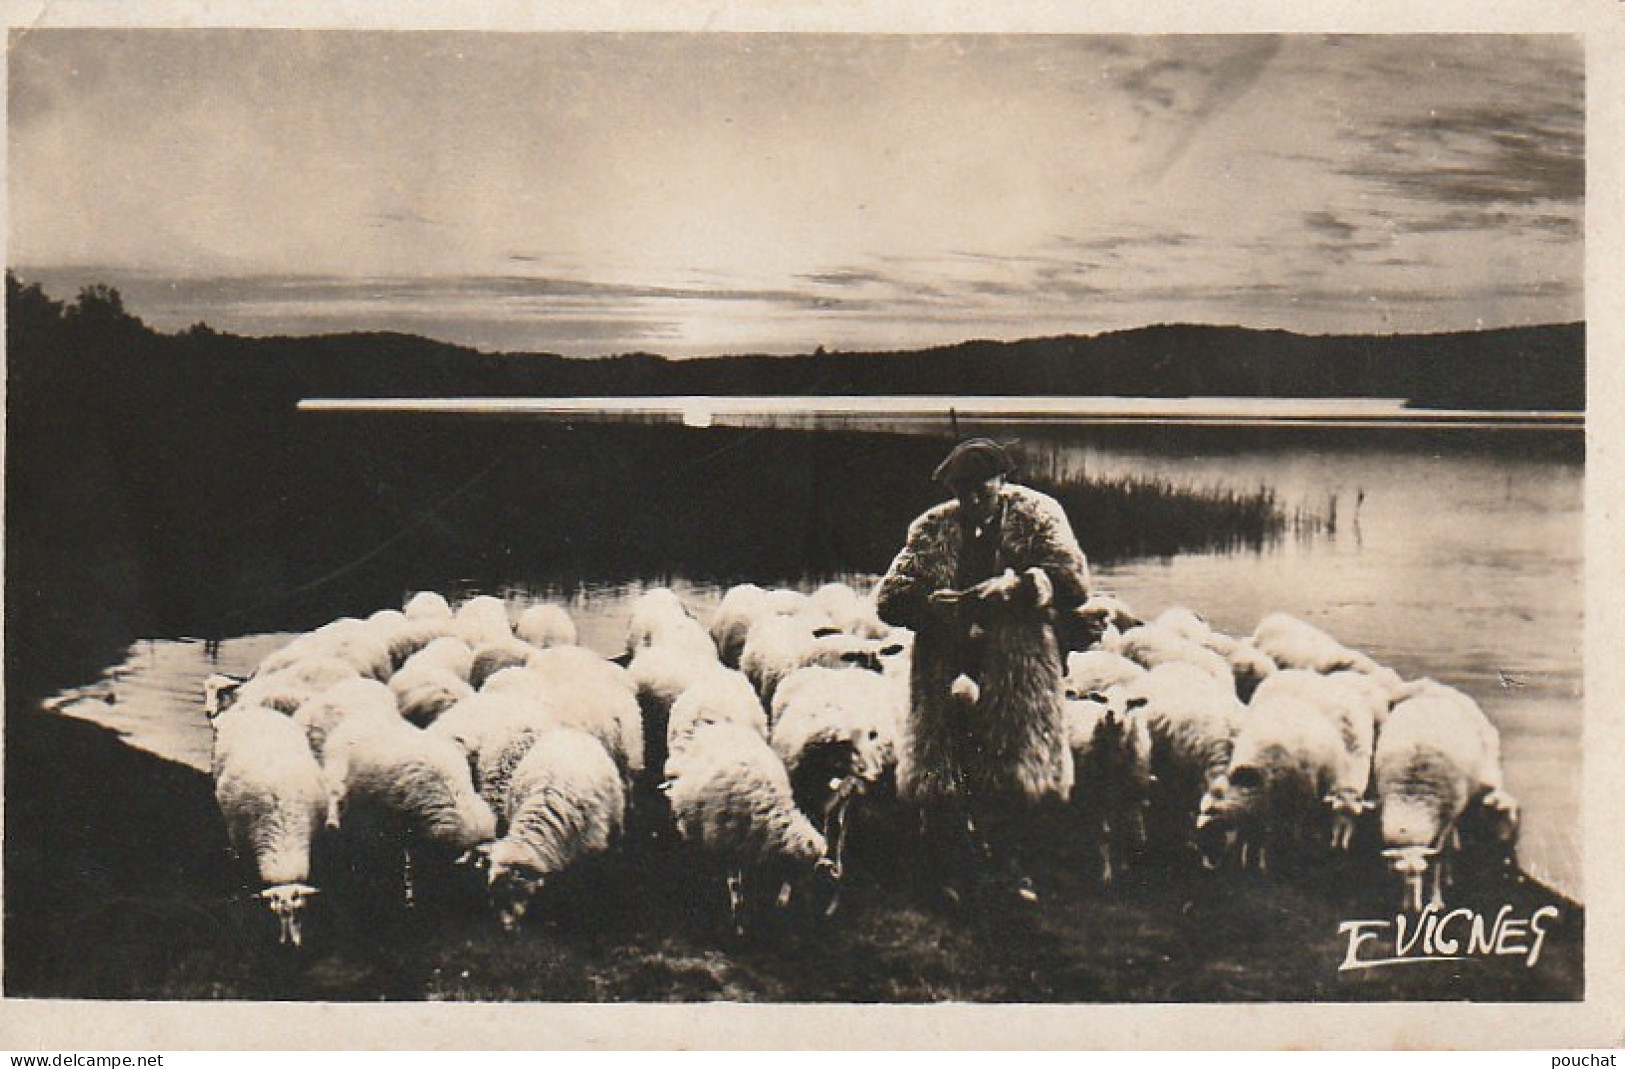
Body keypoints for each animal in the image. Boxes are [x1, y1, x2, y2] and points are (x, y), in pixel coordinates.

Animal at [663, 714, 832, 935]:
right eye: (802, 875)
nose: (809, 918)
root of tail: (712, 727)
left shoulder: (753, 849)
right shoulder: (727, 848)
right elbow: (735, 887)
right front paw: (740, 924)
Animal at [1378, 682, 1514, 909]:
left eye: (1421, 871)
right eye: (1401, 874)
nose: (1413, 908)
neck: (1412, 798)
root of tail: (1437, 689)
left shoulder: (1445, 821)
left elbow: (1438, 859)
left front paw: (1435, 898)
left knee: (1450, 842)